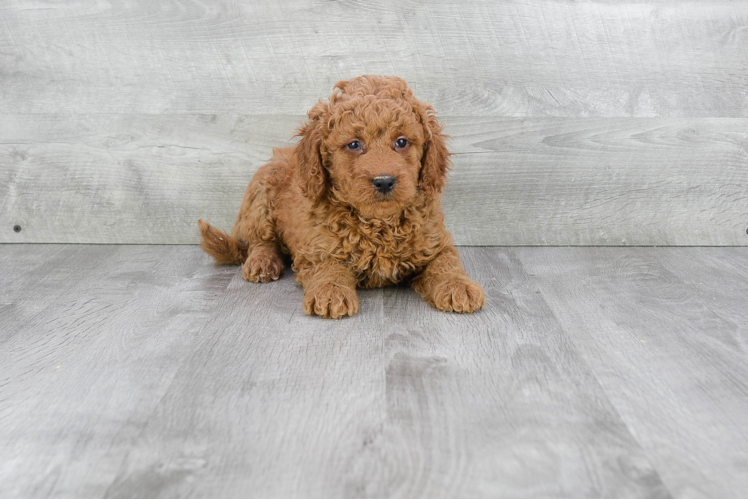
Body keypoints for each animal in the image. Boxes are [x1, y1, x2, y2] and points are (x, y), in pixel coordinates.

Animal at [197, 76, 486, 318]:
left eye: (402, 142)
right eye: (354, 144)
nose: (384, 181)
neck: (379, 223)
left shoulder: (434, 241)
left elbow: (446, 262)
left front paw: (459, 286)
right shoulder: (317, 246)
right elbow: (329, 266)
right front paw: (331, 292)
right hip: (263, 189)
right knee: (259, 240)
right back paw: (262, 262)